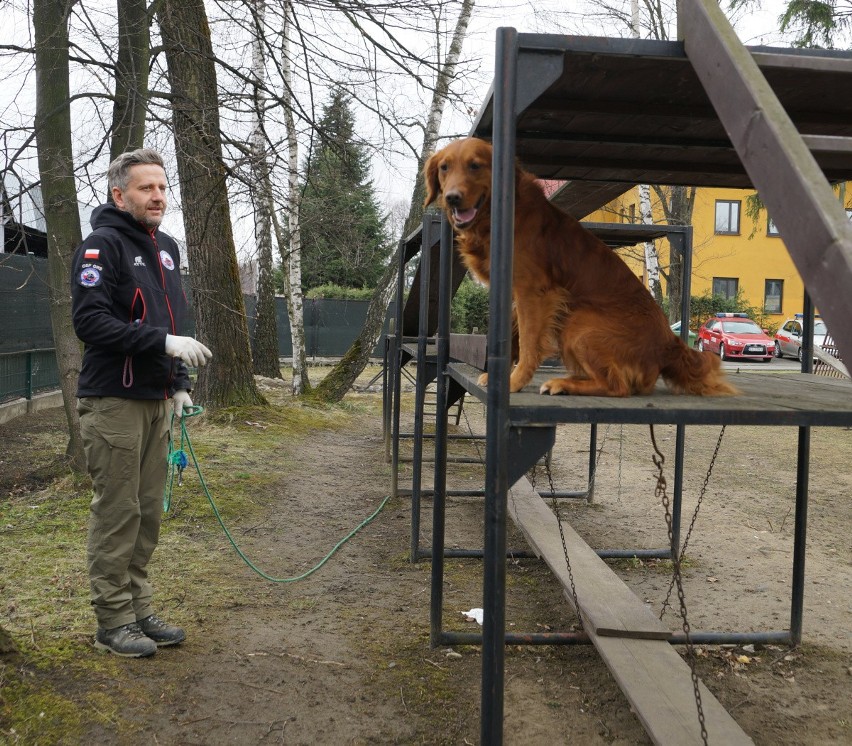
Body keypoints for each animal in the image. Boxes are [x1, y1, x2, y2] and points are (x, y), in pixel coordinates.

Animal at [426, 137, 740, 398]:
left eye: (475, 165)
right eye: (444, 168)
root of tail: (667, 344)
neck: (497, 215)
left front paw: (513, 382)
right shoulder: (515, 294)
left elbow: (528, 343)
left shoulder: (533, 292)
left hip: (579, 323)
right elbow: (514, 337)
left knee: (618, 386)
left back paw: (562, 384)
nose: (452, 197)